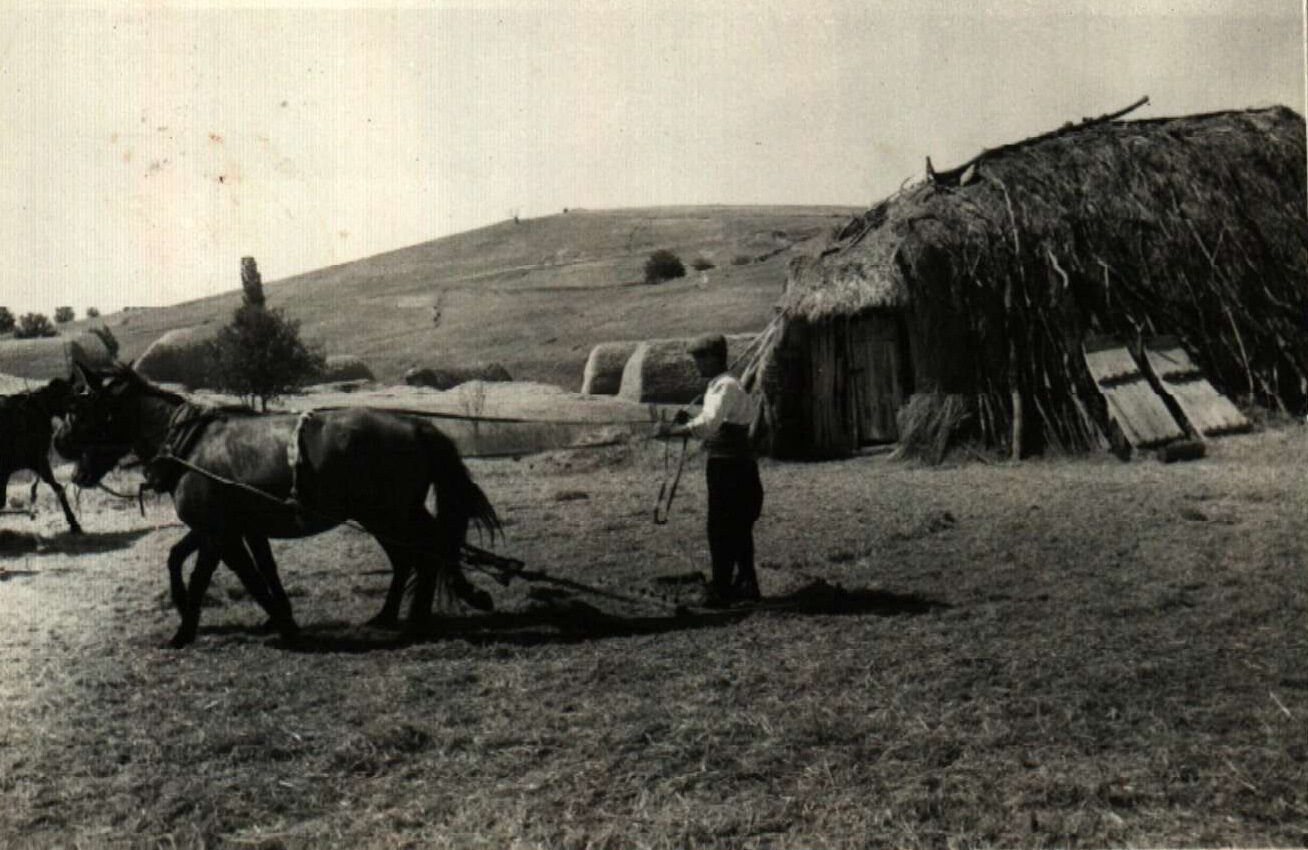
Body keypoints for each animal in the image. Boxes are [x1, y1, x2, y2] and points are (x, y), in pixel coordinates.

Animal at [0, 378, 83, 534]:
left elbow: (58, 487)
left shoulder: (36, 463)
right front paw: (73, 522)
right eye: (68, 396)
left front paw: (73, 522)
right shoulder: (38, 461)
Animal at [56, 363, 502, 647]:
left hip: (389, 514)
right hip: (384, 516)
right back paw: (391, 615)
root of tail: (417, 425)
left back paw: (416, 622)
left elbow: (214, 575)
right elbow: (237, 568)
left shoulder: (218, 532)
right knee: (413, 555)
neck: (189, 445)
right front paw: (278, 617)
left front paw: (184, 631)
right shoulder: (231, 529)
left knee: (427, 553)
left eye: (80, 407)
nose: (58, 443)